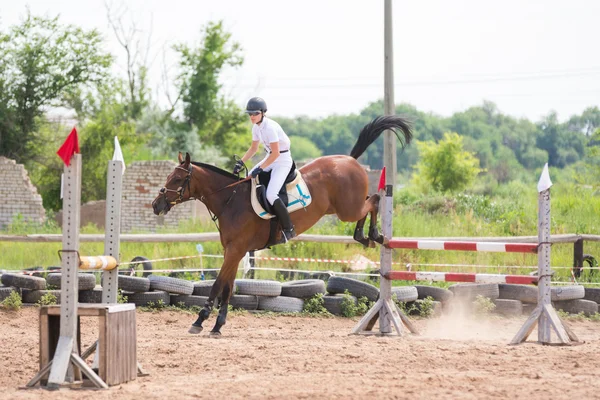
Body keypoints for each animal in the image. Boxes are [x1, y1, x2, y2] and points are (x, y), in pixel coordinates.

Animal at [150, 114, 412, 336]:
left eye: (176, 179)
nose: (155, 205)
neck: (230, 199)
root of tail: (349, 160)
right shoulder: (234, 251)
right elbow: (228, 287)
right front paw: (218, 325)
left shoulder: (235, 250)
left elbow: (217, 286)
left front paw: (199, 321)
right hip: (344, 208)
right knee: (369, 202)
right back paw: (364, 236)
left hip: (348, 209)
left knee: (374, 200)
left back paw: (372, 234)